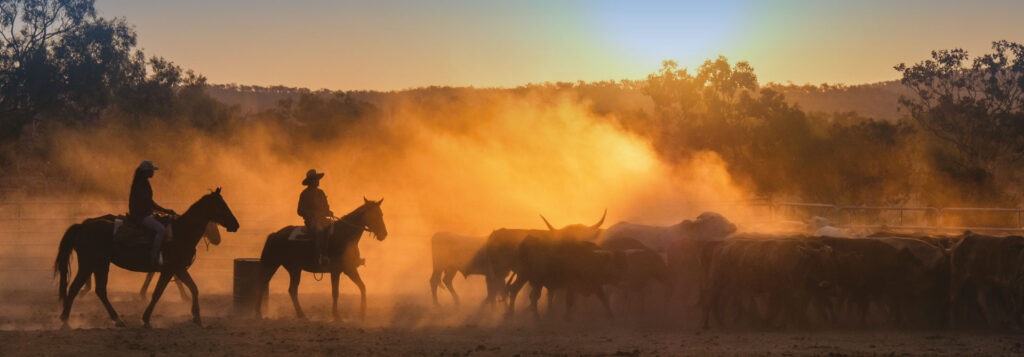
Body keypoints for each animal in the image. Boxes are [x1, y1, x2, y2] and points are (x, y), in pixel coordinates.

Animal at [54, 188, 237, 327]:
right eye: (222, 206)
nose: (236, 224)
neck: (180, 232)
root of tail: (82, 226)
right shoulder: (170, 269)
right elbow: (158, 292)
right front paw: (146, 318)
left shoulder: (177, 269)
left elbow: (194, 288)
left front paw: (197, 317)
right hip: (92, 264)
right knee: (79, 288)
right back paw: (67, 320)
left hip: (98, 264)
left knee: (93, 290)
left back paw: (112, 319)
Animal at [253, 197, 385, 319]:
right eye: (375, 215)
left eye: (381, 214)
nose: (384, 234)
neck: (344, 236)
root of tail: (275, 234)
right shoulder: (336, 271)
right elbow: (335, 292)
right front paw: (336, 316)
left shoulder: (349, 269)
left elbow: (362, 287)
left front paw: (362, 314)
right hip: (274, 264)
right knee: (263, 285)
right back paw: (259, 314)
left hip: (293, 269)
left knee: (290, 290)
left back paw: (300, 315)